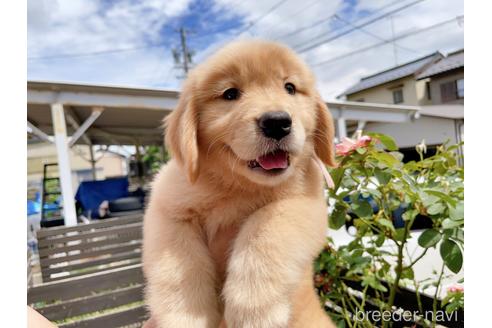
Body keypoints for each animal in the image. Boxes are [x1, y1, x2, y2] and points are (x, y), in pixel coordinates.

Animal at [140, 39, 336, 328]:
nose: (277, 122)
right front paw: (185, 317)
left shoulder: (304, 204)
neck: (238, 186)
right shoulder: (167, 212)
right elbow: (179, 266)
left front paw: (254, 309)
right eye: (230, 94)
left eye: (289, 88)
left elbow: (266, 231)